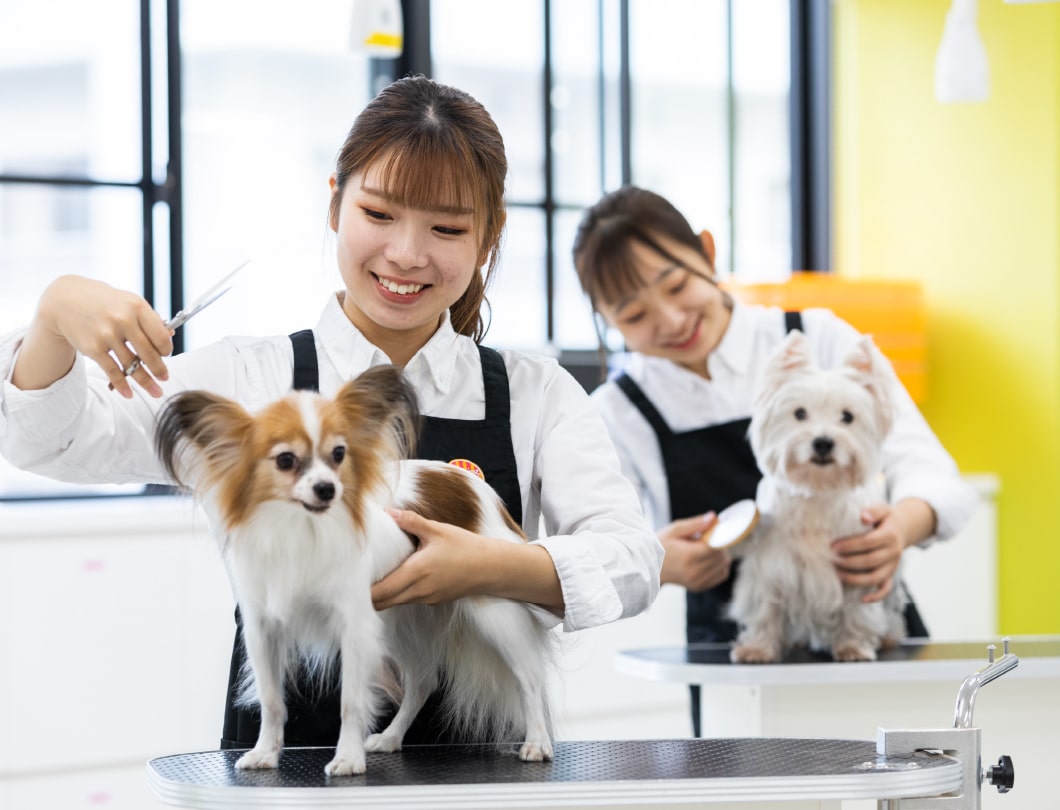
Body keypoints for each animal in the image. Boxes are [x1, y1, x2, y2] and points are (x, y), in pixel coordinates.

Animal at [158, 364, 555, 771]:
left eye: (339, 454)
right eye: (285, 460)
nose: (327, 488)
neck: (300, 527)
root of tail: (474, 486)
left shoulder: (354, 626)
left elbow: (351, 700)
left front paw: (347, 759)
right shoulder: (265, 629)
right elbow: (271, 700)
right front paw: (265, 753)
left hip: (495, 613)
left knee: (529, 678)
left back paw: (537, 743)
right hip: (401, 623)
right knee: (423, 682)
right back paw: (391, 738)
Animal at [733, 328, 907, 665]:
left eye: (847, 417)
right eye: (799, 413)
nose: (823, 442)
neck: (816, 492)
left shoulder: (857, 568)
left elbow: (856, 610)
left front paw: (853, 646)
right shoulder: (770, 566)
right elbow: (766, 608)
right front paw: (757, 649)